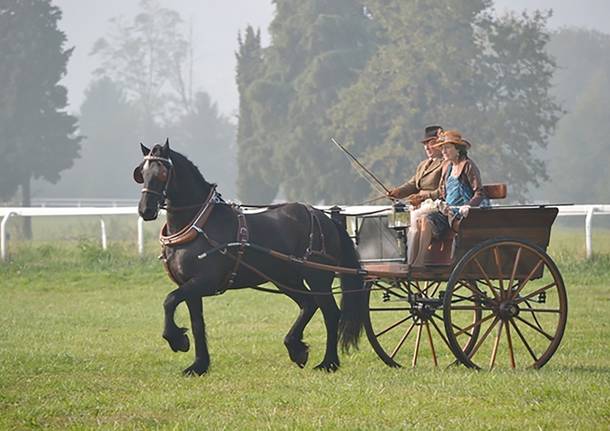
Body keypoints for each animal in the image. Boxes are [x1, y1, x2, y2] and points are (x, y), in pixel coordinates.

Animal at [134, 141, 366, 374]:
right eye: (141, 174)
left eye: (162, 172)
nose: (146, 210)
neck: (198, 225)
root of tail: (324, 218)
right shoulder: (190, 287)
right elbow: (197, 324)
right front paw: (199, 365)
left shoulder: (204, 282)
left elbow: (169, 300)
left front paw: (177, 340)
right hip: (285, 278)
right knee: (308, 304)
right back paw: (296, 348)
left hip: (318, 277)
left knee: (330, 313)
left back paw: (329, 362)